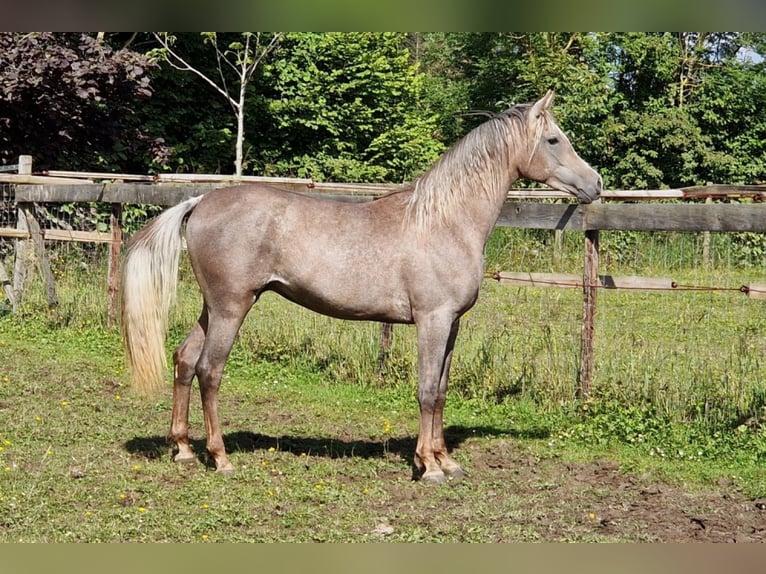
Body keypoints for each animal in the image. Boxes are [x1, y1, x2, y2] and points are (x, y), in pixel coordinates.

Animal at [120, 92, 604, 484]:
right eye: (553, 140)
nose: (596, 184)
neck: (444, 221)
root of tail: (200, 201)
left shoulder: (452, 326)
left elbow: (442, 391)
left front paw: (446, 461)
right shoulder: (432, 321)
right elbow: (426, 391)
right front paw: (429, 467)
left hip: (213, 307)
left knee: (184, 360)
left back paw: (183, 449)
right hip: (231, 308)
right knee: (209, 371)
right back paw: (220, 458)